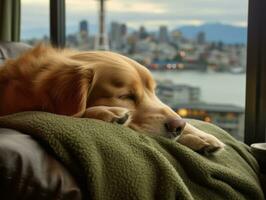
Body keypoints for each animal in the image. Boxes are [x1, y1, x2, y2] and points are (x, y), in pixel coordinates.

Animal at [0, 44, 224, 153]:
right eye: (125, 96)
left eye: (154, 91)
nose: (178, 126)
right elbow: (77, 113)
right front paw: (108, 112)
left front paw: (200, 135)